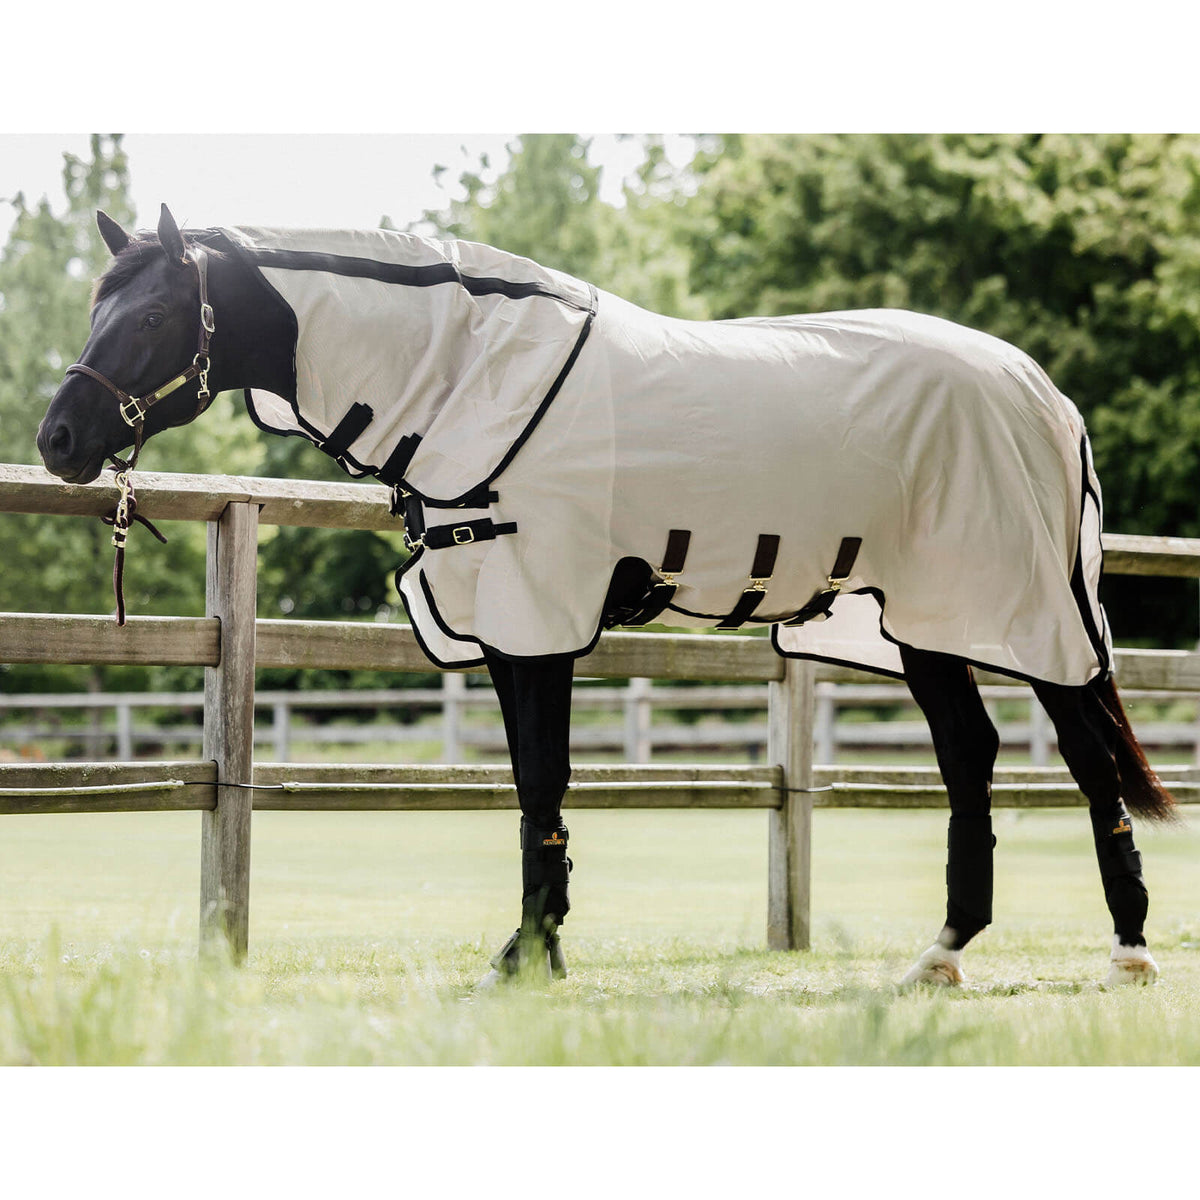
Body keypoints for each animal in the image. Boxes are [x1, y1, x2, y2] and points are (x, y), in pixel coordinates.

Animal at [37, 205, 1177, 988]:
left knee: (1082, 753)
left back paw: (1128, 949)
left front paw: (529, 954)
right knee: (970, 756)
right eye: (96, 307)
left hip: (1021, 606)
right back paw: (941, 955)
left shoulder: (535, 612)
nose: (58, 440)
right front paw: (535, 946)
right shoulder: (499, 617)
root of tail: (1046, 396)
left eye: (151, 316)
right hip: (921, 621)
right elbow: (530, 783)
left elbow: (544, 777)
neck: (473, 376)